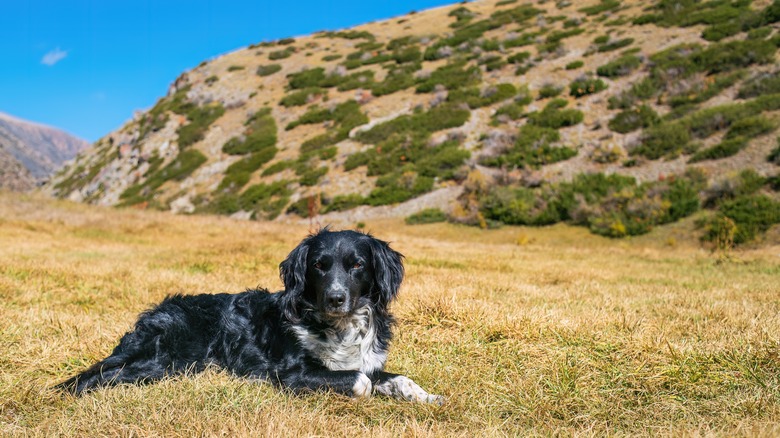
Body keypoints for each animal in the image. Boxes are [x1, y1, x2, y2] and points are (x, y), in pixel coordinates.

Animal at [54, 229, 444, 404]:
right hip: (163, 359)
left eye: (357, 265)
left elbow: (397, 378)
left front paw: (428, 398)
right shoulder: (292, 374)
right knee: (97, 377)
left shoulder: (367, 361)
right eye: (319, 266)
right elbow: (360, 382)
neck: (339, 326)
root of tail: (160, 309)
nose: (335, 298)